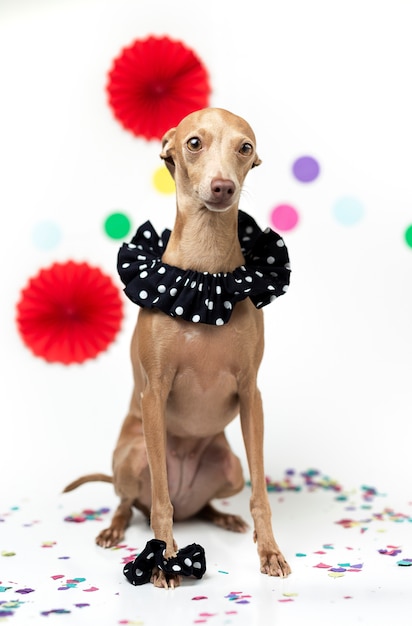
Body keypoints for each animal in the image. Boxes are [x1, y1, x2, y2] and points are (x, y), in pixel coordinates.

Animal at [63, 106, 290, 584]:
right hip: (133, 456)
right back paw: (114, 528)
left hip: (229, 467)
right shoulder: (155, 393)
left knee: (204, 503)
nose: (223, 187)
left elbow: (261, 493)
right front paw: (164, 562)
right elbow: (160, 503)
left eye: (245, 147)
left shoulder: (251, 394)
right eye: (194, 143)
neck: (205, 273)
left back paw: (221, 516)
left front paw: (269, 552)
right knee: (134, 500)